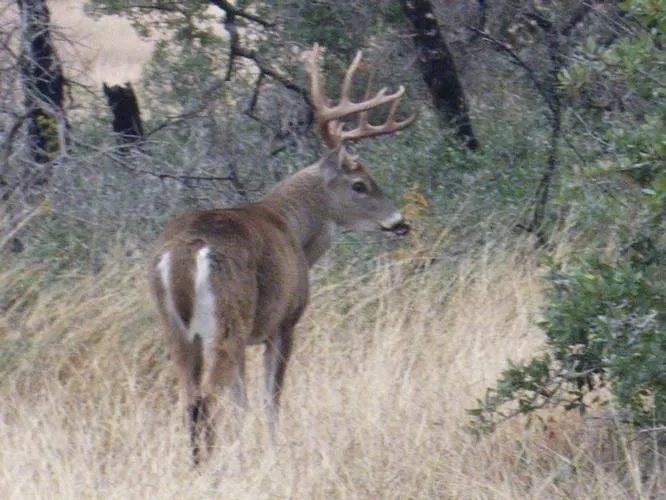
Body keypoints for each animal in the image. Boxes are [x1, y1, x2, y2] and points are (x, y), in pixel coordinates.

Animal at [148, 44, 416, 465]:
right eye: (360, 184)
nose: (401, 221)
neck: (294, 229)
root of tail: (182, 256)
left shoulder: (249, 336)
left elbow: (243, 404)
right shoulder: (284, 322)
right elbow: (271, 399)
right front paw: (274, 450)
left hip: (175, 330)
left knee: (190, 400)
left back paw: (198, 465)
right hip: (227, 319)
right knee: (208, 399)